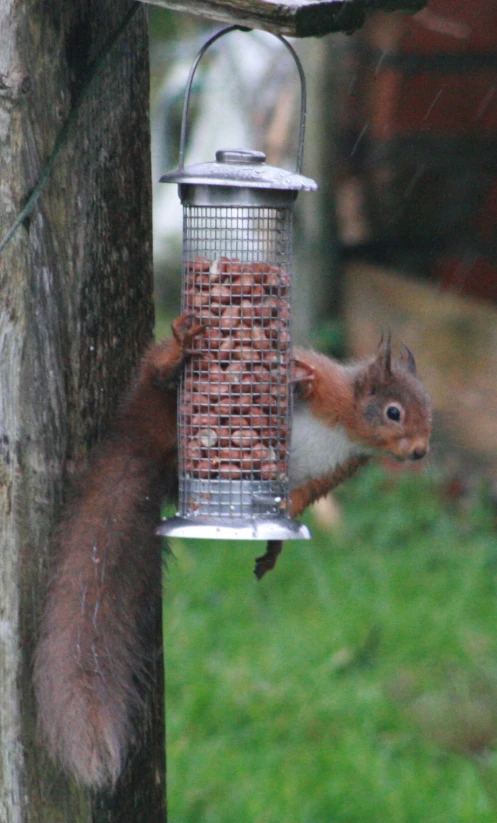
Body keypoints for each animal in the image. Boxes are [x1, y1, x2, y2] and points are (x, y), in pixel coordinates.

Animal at [35, 316, 430, 792]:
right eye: (394, 412)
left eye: (430, 412)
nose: (420, 451)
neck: (350, 428)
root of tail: (140, 437)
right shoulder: (332, 395)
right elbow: (313, 378)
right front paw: (300, 375)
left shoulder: (330, 472)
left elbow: (297, 502)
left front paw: (275, 545)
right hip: (162, 401)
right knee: (155, 376)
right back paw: (177, 355)